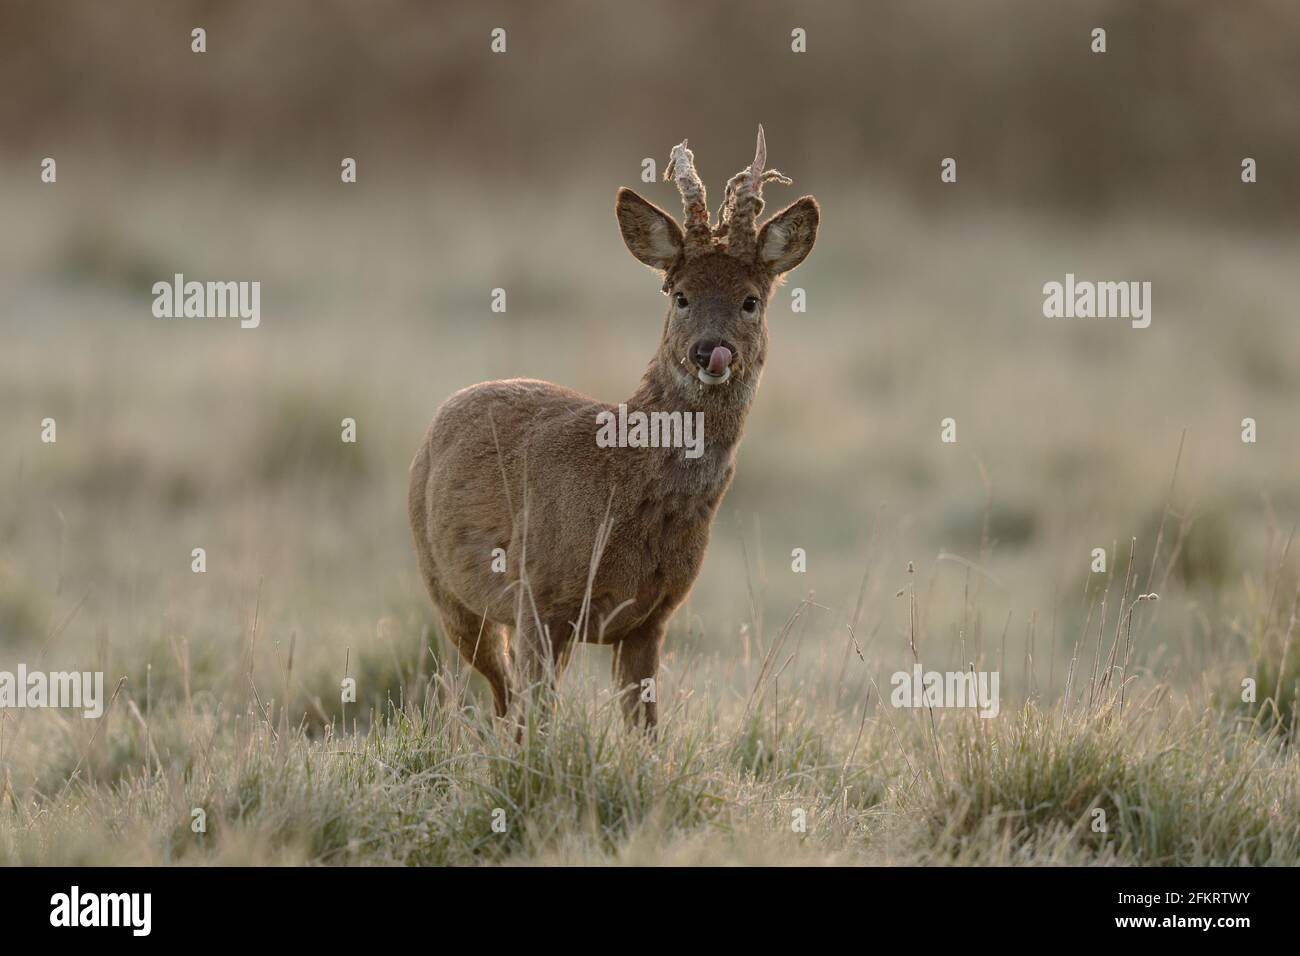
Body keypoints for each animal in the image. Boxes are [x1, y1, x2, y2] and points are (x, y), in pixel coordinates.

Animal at [405, 125, 816, 723]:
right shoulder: (538, 596)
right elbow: (538, 720)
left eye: (751, 301)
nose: (710, 351)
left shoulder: (652, 617)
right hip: (446, 588)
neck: (624, 483)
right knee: (504, 700)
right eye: (680, 295)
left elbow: (644, 729)